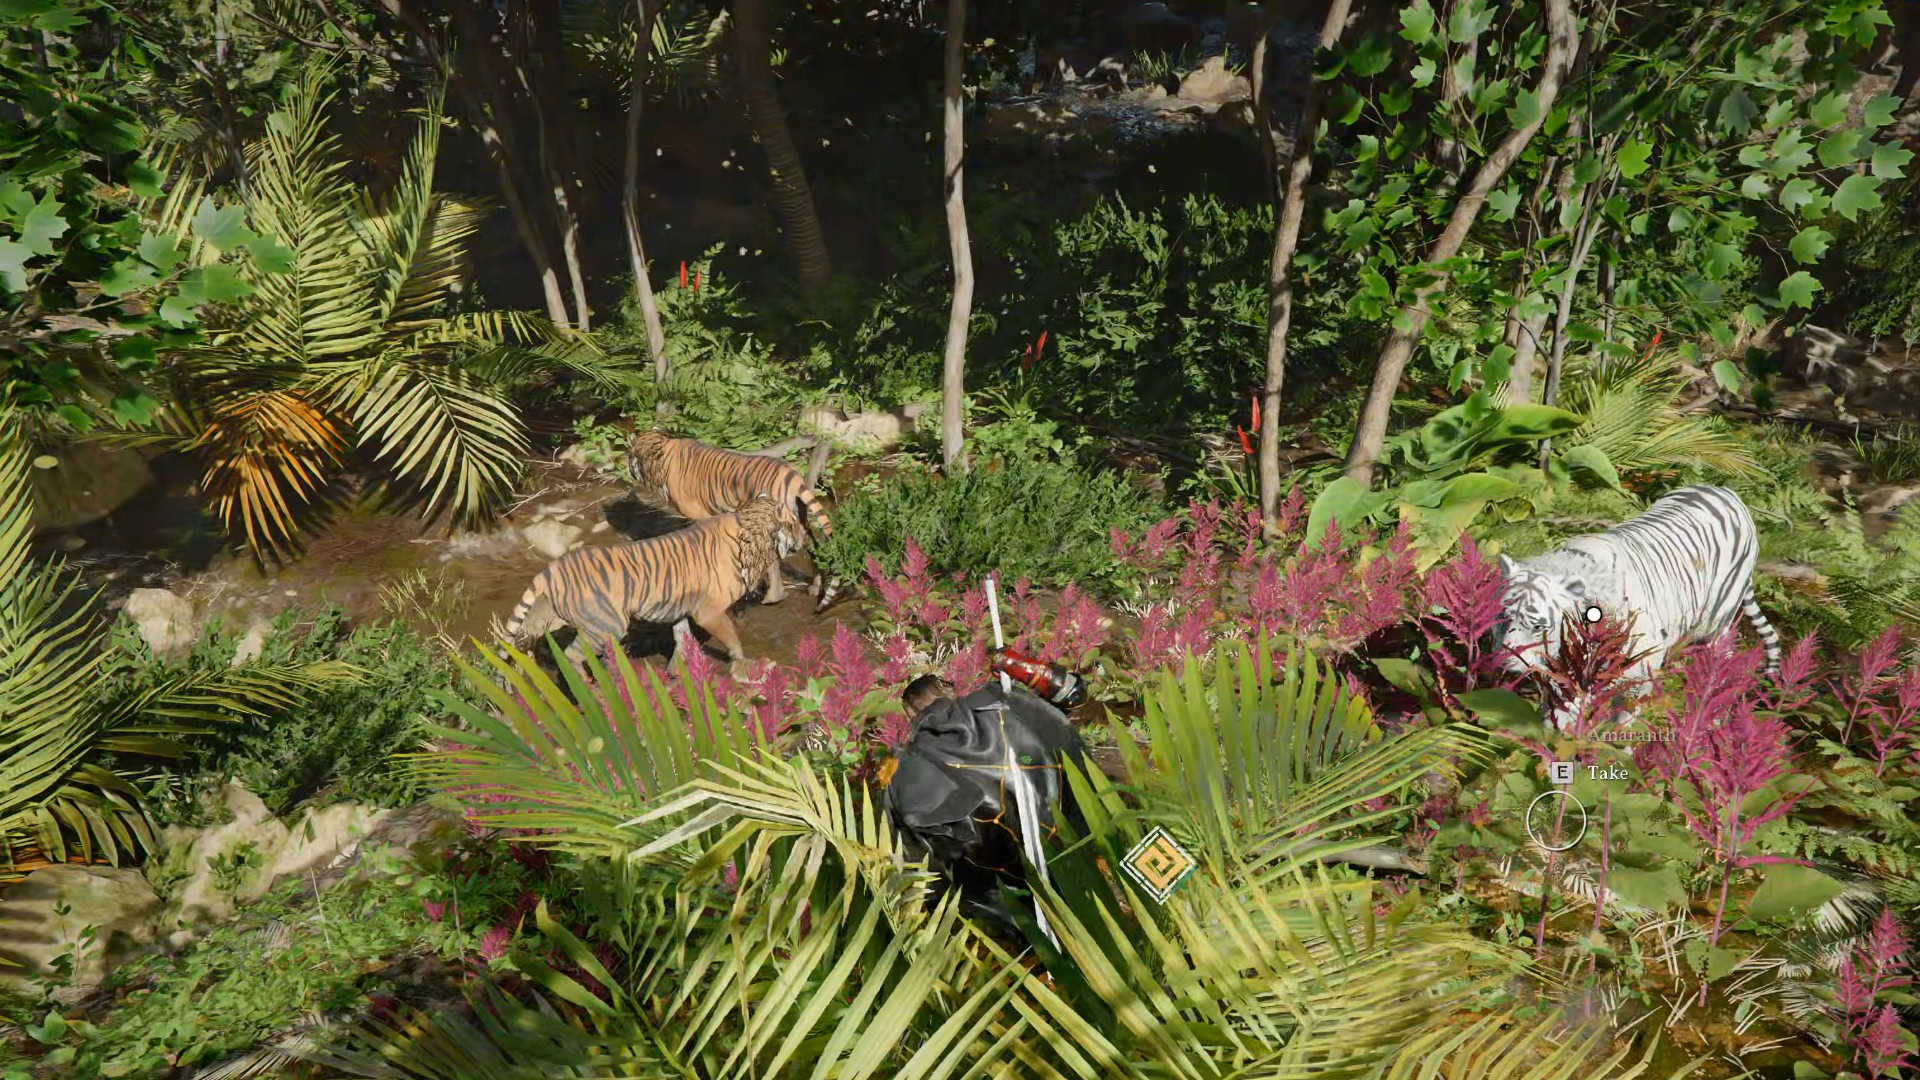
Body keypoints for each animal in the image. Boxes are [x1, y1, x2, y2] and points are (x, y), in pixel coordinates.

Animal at [503, 492, 799, 673]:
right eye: (794, 523)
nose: (802, 539)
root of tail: (551, 570)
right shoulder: (708, 612)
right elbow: (732, 640)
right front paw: (744, 665)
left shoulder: (682, 608)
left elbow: (682, 639)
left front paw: (678, 672)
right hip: (606, 624)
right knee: (571, 655)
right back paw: (593, 687)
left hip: (559, 616)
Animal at [627, 429, 843, 612]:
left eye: (630, 455)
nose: (627, 465)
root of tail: (793, 475)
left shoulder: (700, 515)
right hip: (800, 520)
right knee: (814, 548)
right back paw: (814, 588)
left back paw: (771, 598)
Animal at [1497, 485, 1782, 694]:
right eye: (1502, 619)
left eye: (1538, 626)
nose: (1506, 668)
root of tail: (1726, 491)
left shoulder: (1645, 662)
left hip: (1717, 621)